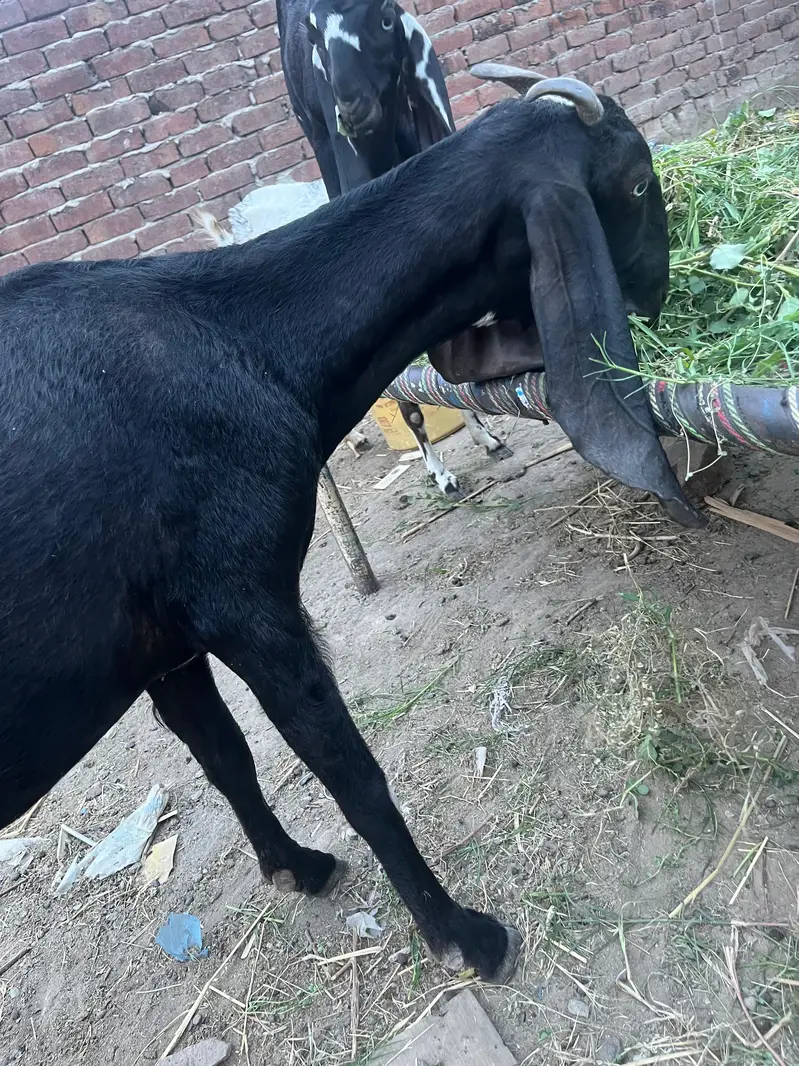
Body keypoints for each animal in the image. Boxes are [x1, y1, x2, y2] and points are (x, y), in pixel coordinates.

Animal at [0, 69, 703, 988]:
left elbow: (223, 753)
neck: (237, 336)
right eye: (635, 182)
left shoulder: (162, 637)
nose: (657, 293)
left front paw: (294, 866)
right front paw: (462, 934)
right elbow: (349, 771)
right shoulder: (243, 599)